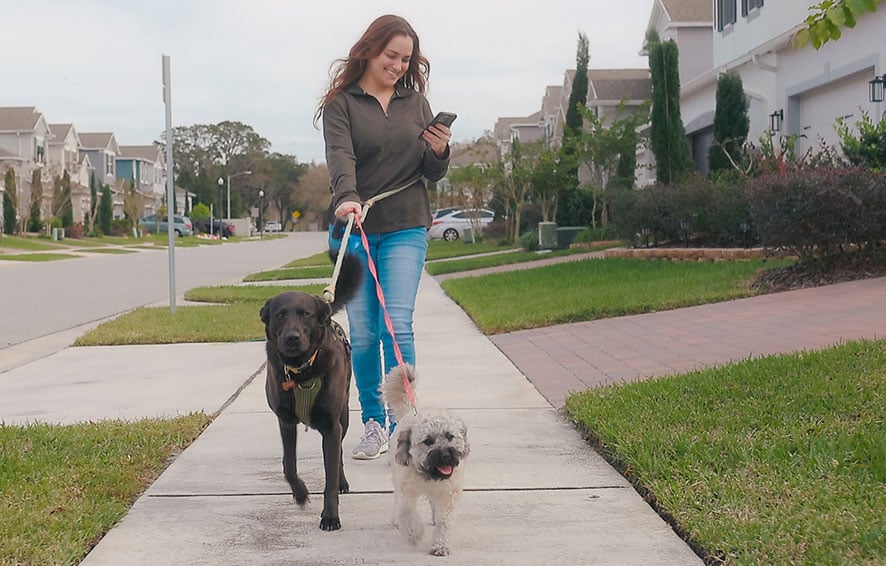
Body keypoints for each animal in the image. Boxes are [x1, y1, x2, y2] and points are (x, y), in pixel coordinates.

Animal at [262, 253, 362, 532]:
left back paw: (342, 482)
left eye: (305, 314)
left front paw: (330, 516)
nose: (292, 338)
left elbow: (329, 478)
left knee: (338, 455)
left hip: (344, 417)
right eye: (280, 315)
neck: (301, 370)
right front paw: (300, 493)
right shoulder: (285, 422)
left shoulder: (331, 426)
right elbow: (289, 466)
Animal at [384, 366, 472, 556]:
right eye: (428, 441)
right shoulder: (406, 490)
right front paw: (415, 536)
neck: (430, 474)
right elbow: (406, 512)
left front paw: (441, 545)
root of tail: (410, 413)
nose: (446, 455)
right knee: (397, 500)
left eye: (450, 436)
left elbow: (444, 521)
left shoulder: (448, 495)